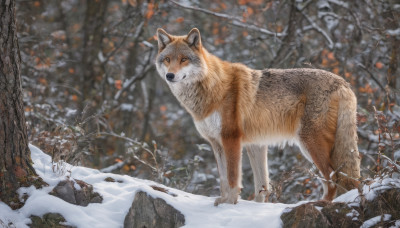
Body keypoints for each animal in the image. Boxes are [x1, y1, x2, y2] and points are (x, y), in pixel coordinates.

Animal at [155, 27, 360, 206]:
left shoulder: (231, 139)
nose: (170, 76)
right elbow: (245, 182)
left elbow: (232, 178)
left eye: (183, 59)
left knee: (333, 176)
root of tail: (343, 83)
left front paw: (230, 203)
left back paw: (322, 203)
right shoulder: (233, 143)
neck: (212, 87)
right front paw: (234, 202)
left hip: (309, 144)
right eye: (167, 59)